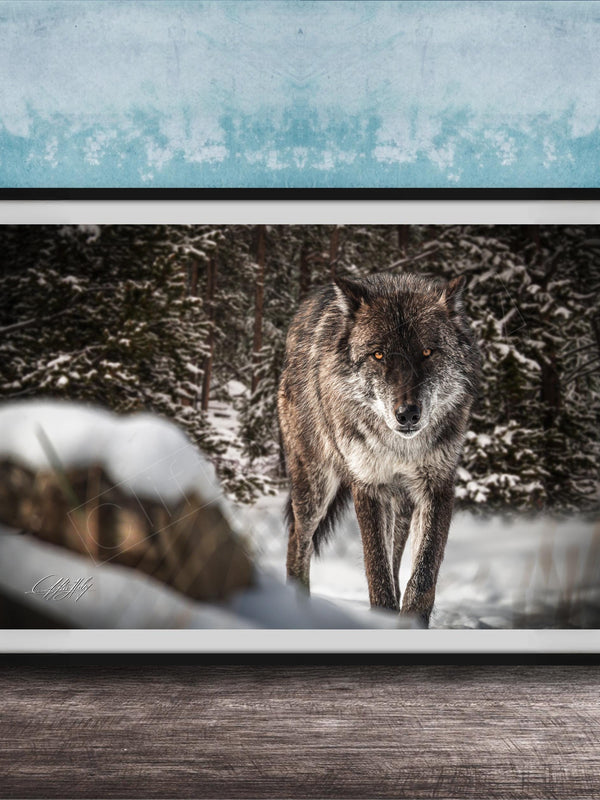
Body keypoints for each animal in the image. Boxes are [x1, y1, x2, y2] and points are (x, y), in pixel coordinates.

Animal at [277, 272, 481, 626]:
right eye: (378, 355)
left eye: (427, 352)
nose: (408, 414)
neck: (400, 449)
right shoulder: (368, 486)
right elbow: (378, 572)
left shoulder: (437, 486)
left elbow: (422, 575)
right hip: (315, 487)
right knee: (298, 542)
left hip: (401, 506)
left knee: (397, 558)